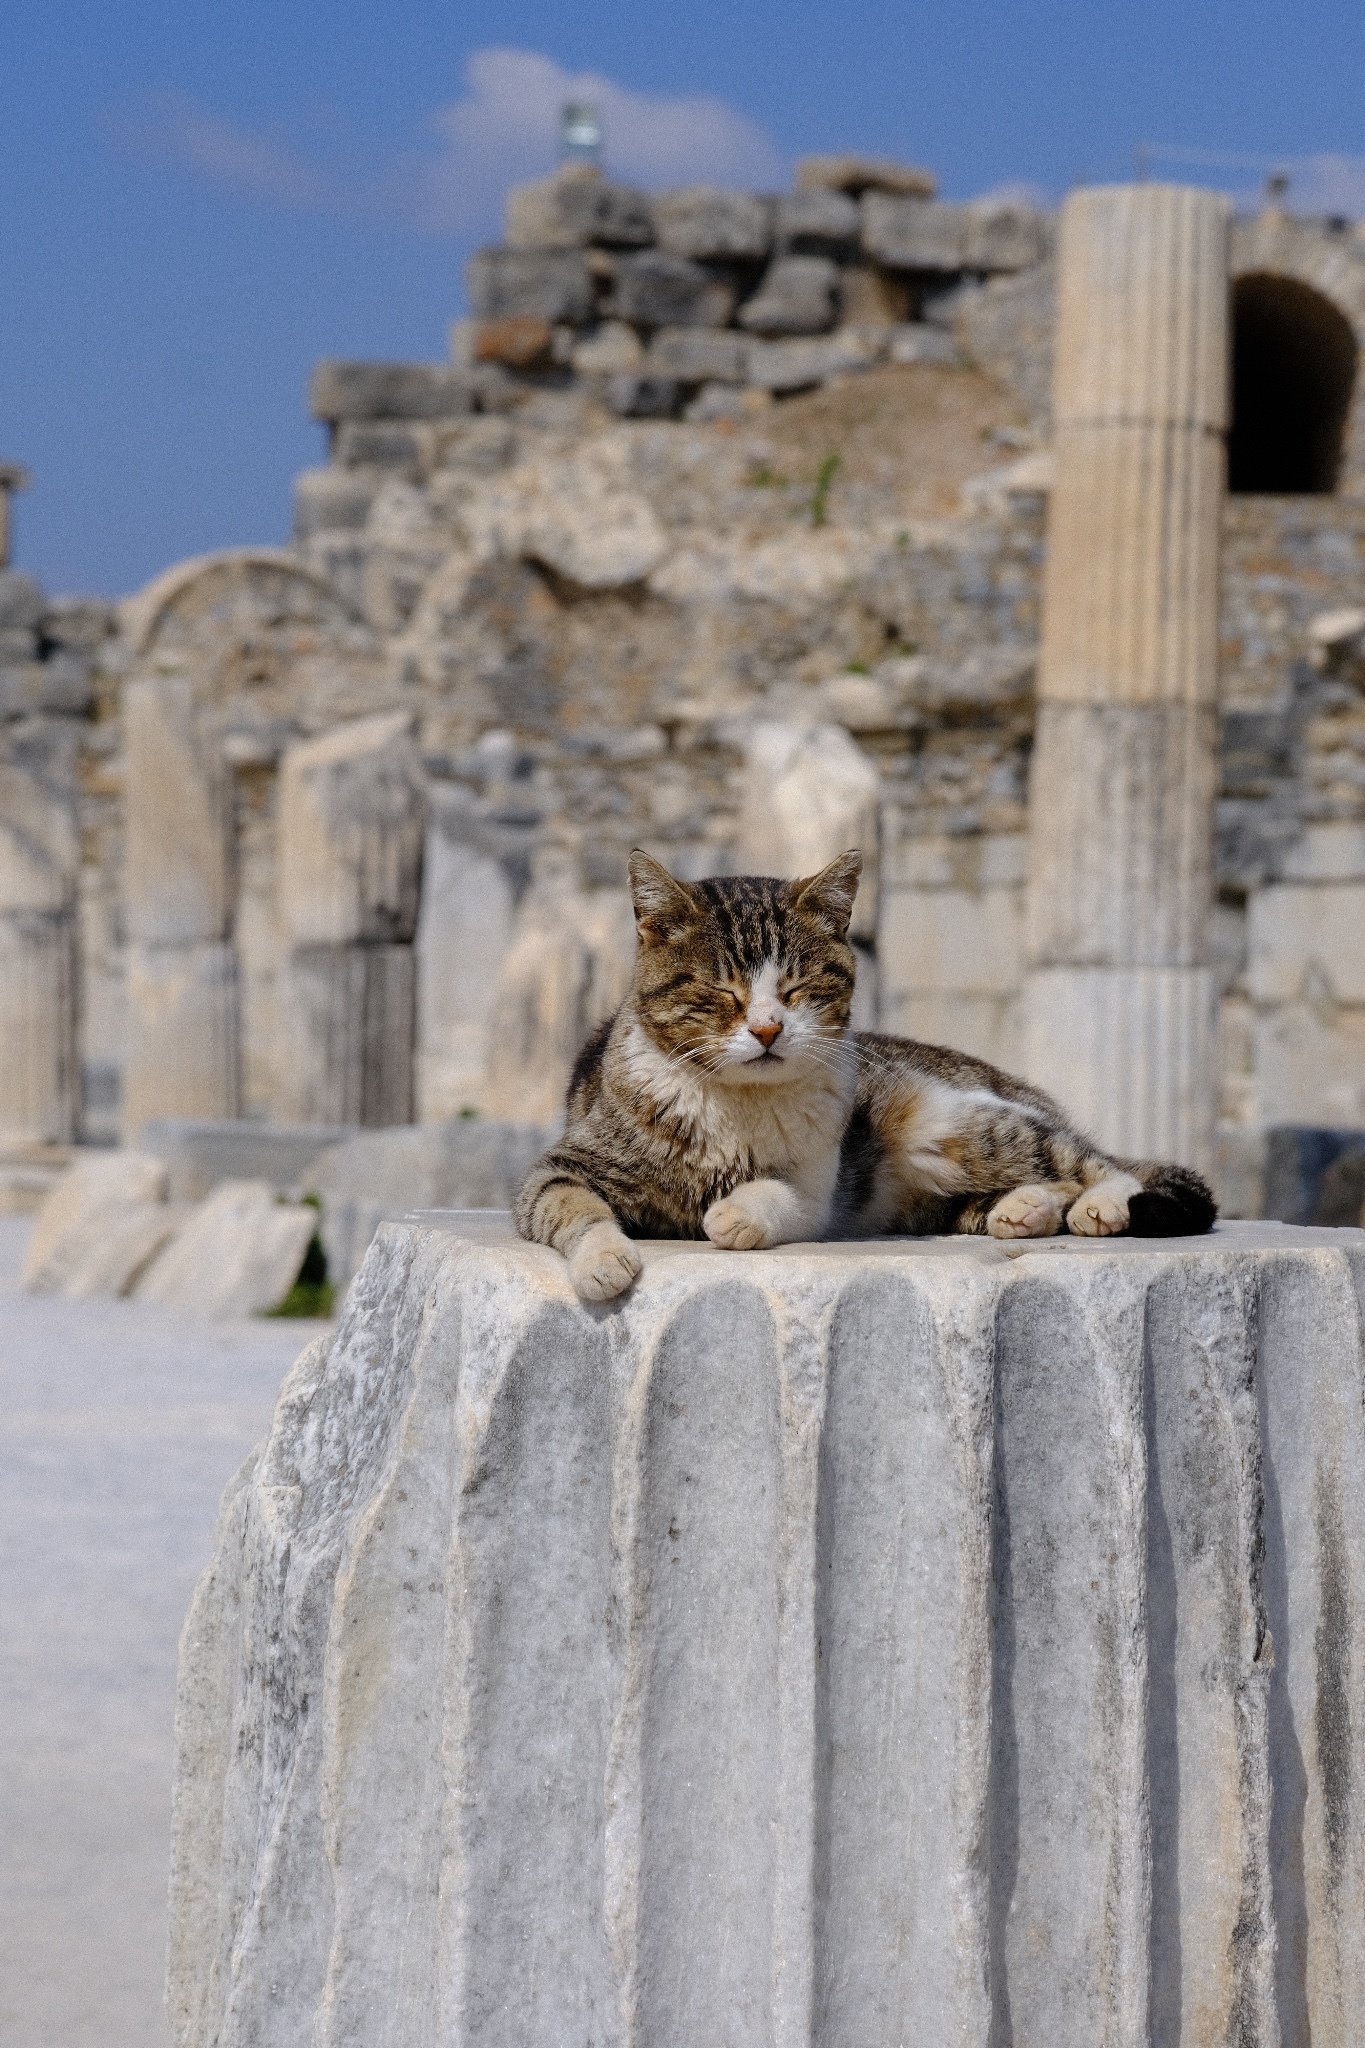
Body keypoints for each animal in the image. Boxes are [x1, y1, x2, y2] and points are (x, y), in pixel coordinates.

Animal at [511, 843, 1219, 1294]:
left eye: (796, 988)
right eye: (721, 990)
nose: (766, 1028)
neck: (736, 1108)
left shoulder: (818, 1190)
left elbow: (779, 1197)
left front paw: (734, 1214)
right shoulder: (558, 1169)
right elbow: (572, 1209)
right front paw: (605, 1262)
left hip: (955, 1125)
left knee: (1095, 1164)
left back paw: (1100, 1205)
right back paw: (1023, 1212)